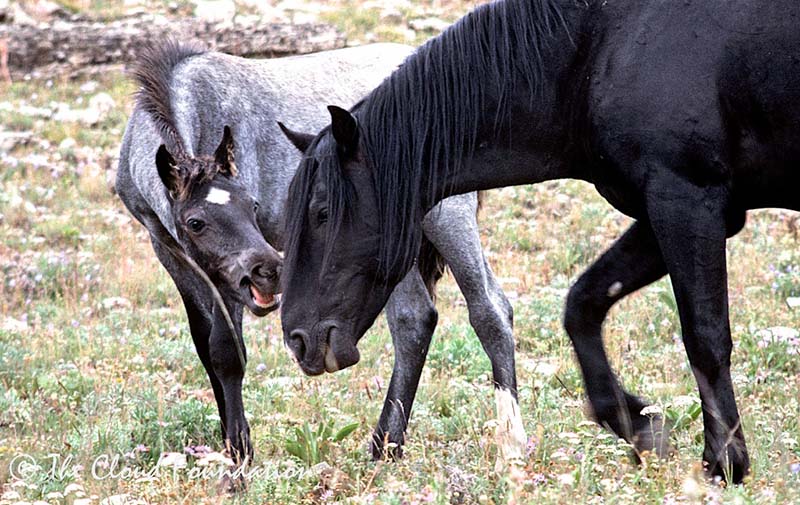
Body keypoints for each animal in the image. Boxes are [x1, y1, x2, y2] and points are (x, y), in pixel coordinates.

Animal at [280, 0, 800, 482]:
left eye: (322, 213)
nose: (300, 340)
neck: (598, 49)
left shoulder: (688, 204)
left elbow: (705, 338)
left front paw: (725, 460)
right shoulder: (668, 214)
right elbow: (583, 305)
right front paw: (637, 424)